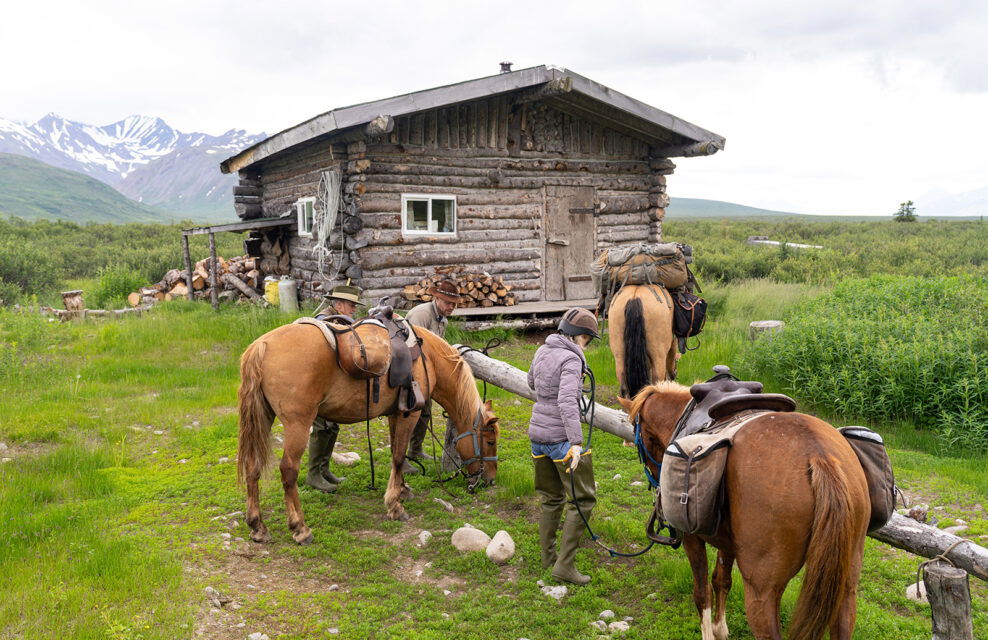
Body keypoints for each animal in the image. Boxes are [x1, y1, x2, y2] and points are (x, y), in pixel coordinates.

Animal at [236, 323, 499, 544]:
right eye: (490, 441)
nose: (490, 479)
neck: (428, 358)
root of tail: (262, 345)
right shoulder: (410, 414)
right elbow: (398, 456)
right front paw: (394, 506)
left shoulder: (395, 414)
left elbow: (396, 454)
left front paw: (402, 491)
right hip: (298, 425)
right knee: (288, 471)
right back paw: (300, 528)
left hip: (263, 418)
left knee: (253, 466)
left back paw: (257, 525)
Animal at [621, 383, 871, 640]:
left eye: (640, 435)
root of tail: (818, 456)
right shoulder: (728, 543)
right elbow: (721, 580)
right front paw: (721, 629)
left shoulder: (692, 538)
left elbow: (702, 593)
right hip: (845, 586)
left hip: (762, 593)